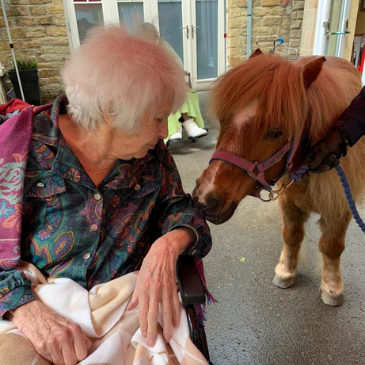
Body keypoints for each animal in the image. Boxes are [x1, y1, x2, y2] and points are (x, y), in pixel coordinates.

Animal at [192, 48, 362, 304]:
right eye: (223, 120)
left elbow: (332, 245)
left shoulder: (340, 205)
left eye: (276, 132)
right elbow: (291, 235)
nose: (204, 198)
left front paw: (332, 287)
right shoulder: (288, 200)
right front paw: (285, 271)